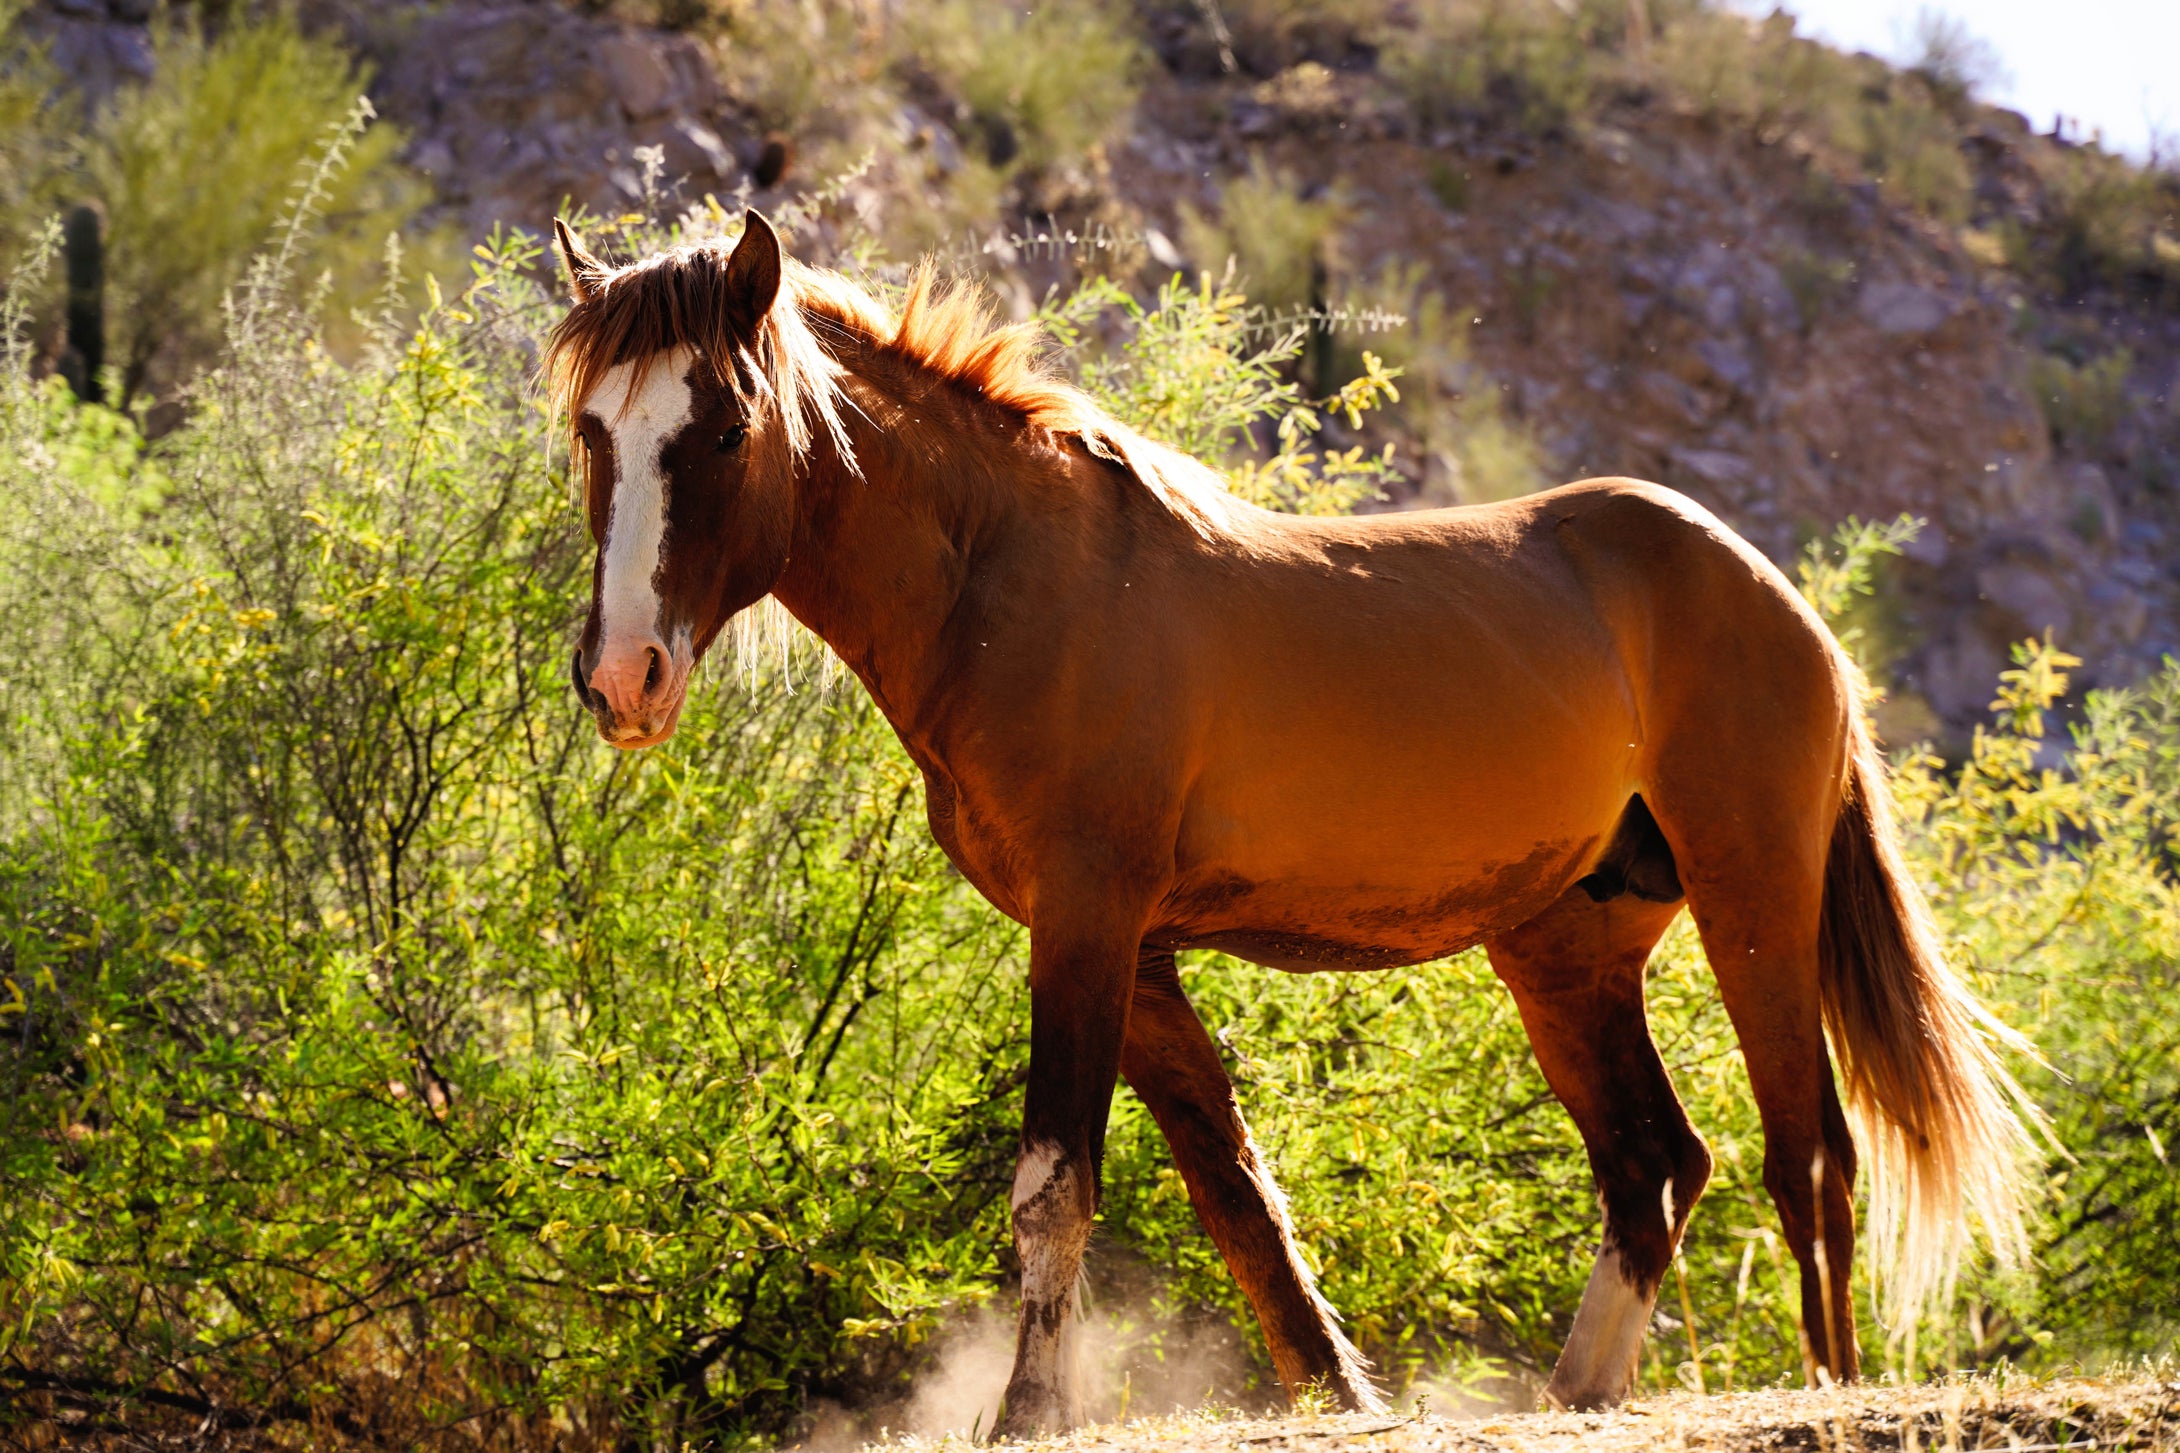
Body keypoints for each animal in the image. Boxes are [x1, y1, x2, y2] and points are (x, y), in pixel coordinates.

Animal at [549, 213, 2040, 1429]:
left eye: (724, 427)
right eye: (593, 434)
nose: (625, 679)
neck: (1012, 577)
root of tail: (1780, 600)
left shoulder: (1088, 923)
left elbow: (1054, 1184)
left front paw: (1028, 1411)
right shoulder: (1136, 954)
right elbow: (1236, 1194)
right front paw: (1335, 1388)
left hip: (1756, 898)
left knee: (1810, 1155)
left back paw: (1827, 1383)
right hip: (1565, 951)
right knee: (1655, 1164)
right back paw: (1576, 1390)